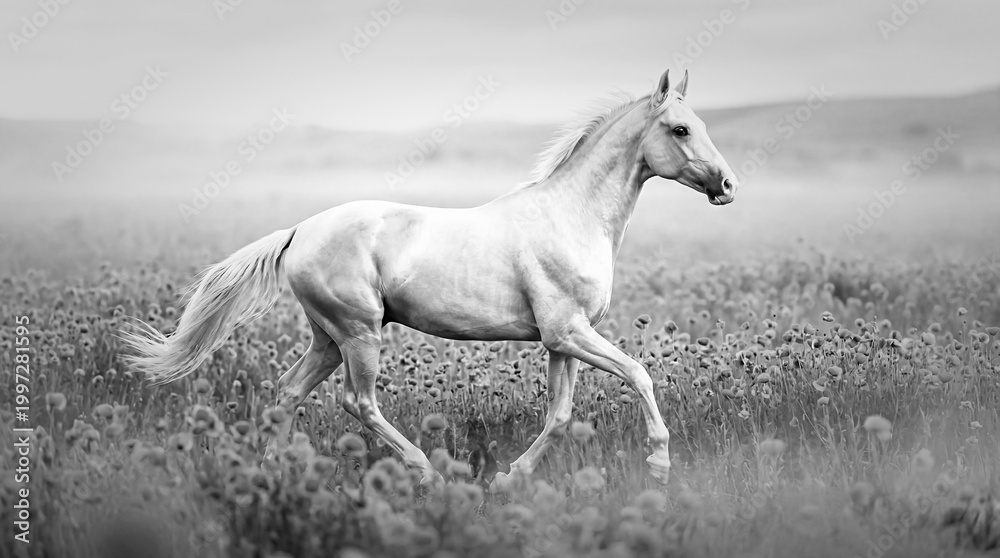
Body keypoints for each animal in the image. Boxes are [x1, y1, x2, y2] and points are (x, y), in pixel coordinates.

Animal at [122, 69, 738, 491]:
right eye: (680, 128)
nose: (728, 186)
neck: (571, 215)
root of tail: (299, 231)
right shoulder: (569, 332)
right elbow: (639, 374)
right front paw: (659, 464)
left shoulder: (562, 340)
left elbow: (561, 416)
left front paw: (509, 478)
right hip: (359, 334)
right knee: (359, 402)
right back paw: (426, 473)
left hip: (329, 337)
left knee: (290, 389)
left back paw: (275, 472)